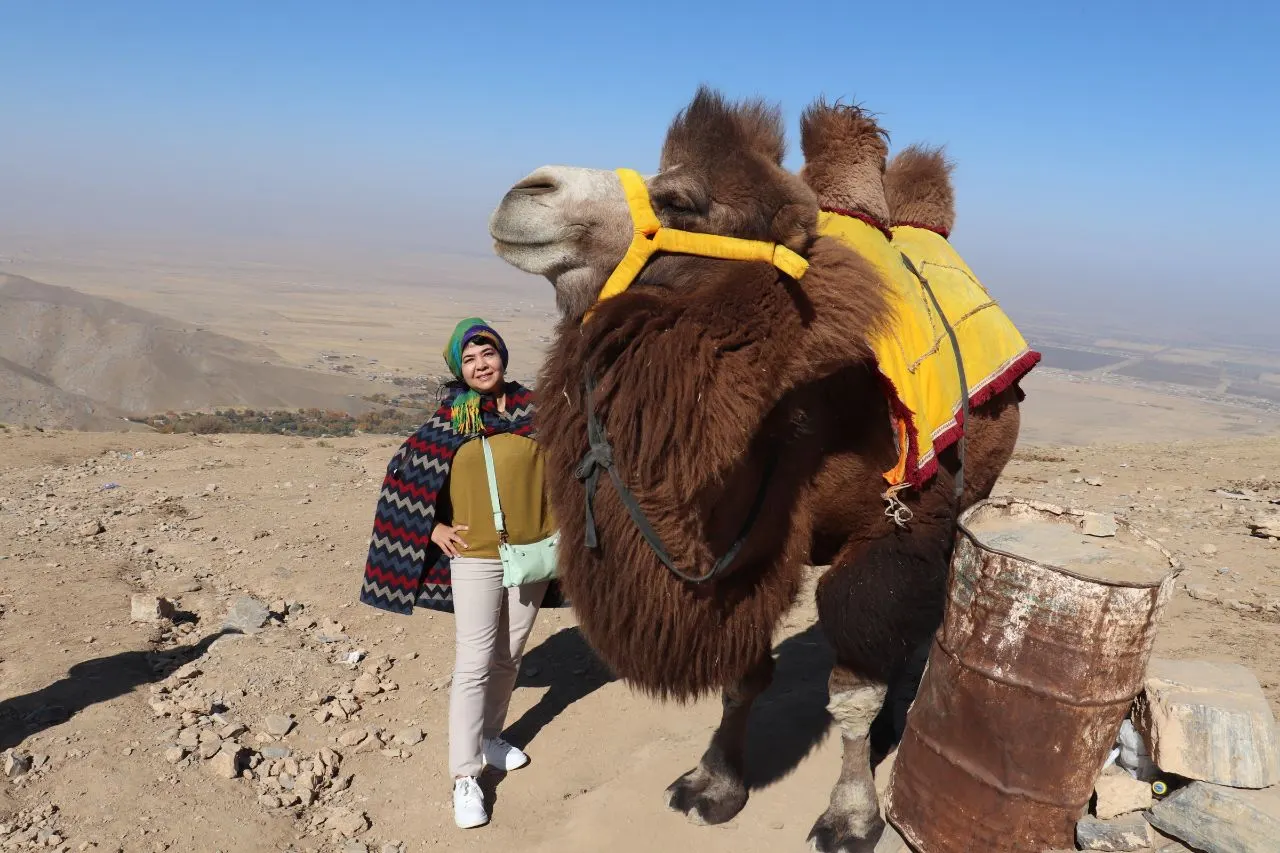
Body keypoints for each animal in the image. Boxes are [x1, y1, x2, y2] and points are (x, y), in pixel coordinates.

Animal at [487, 87, 1032, 852]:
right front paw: (713, 783)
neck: (805, 403)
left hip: (966, 490)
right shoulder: (747, 543)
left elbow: (854, 687)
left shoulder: (895, 529)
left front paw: (852, 815)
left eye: (681, 198)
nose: (527, 190)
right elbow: (742, 676)